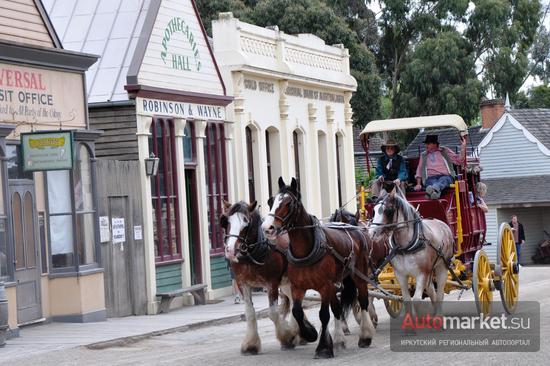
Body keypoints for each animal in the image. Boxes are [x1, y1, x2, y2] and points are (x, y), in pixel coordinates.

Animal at [221, 200, 314, 354]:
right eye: (227, 221)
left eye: (246, 221)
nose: (230, 250)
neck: (254, 252)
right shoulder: (242, 283)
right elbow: (249, 312)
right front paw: (251, 345)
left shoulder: (272, 283)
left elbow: (273, 312)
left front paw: (287, 337)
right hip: (287, 282)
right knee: (293, 301)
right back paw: (301, 334)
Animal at [262, 179, 376, 358]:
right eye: (271, 201)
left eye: (289, 203)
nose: (268, 227)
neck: (306, 249)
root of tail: (356, 229)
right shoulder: (298, 287)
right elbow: (297, 311)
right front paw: (309, 334)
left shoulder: (325, 286)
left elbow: (324, 314)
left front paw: (323, 348)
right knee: (337, 308)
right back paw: (339, 340)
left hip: (359, 275)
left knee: (363, 300)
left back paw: (365, 336)